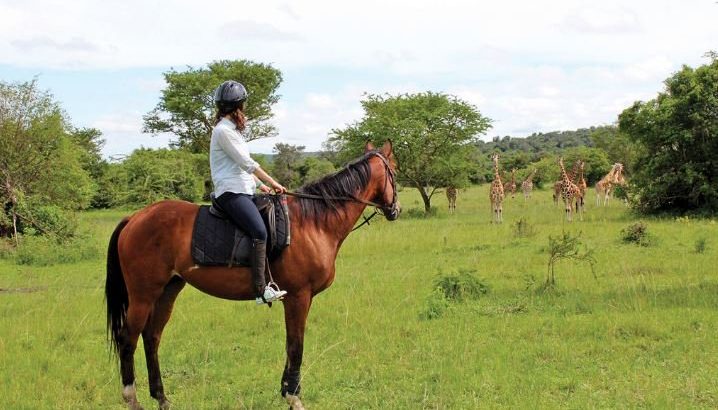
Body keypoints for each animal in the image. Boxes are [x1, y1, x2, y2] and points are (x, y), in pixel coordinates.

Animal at [105, 141, 400, 410]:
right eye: (395, 171)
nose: (395, 210)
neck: (314, 223)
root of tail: (135, 218)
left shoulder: (299, 299)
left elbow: (290, 345)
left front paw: (286, 391)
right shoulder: (298, 297)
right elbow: (296, 346)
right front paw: (294, 398)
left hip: (168, 289)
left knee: (151, 337)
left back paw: (162, 398)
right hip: (143, 295)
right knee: (128, 339)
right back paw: (132, 400)